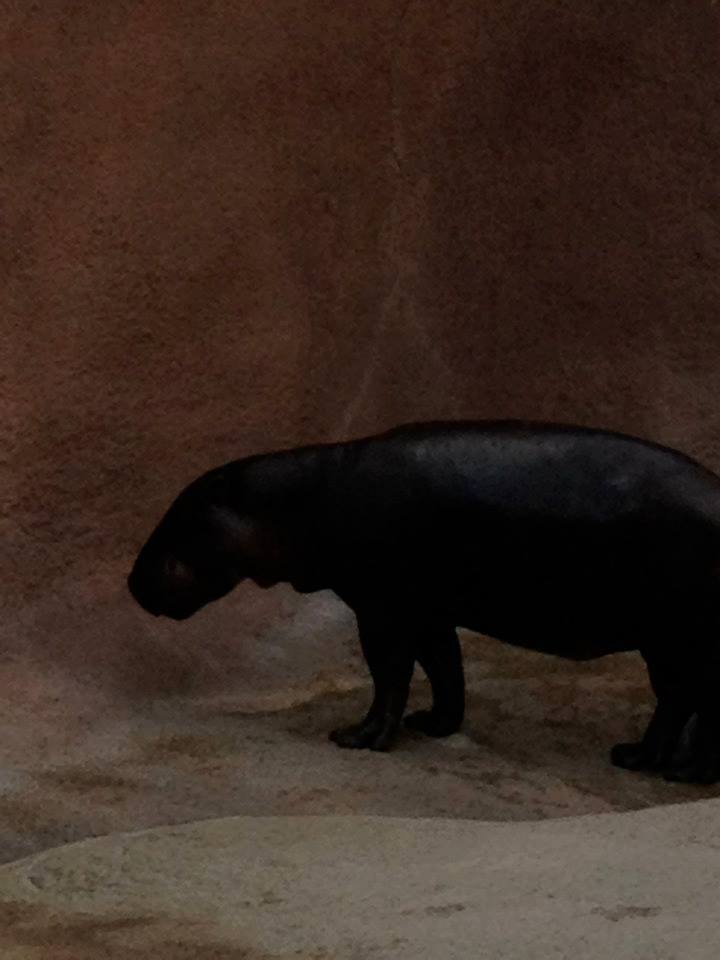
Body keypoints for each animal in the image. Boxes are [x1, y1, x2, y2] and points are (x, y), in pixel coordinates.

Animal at [127, 420, 720, 784]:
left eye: (178, 516)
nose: (130, 581)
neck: (290, 504)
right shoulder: (430, 611)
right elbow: (444, 668)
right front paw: (432, 725)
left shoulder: (381, 610)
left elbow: (390, 673)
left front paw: (357, 739)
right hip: (668, 642)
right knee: (680, 701)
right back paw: (644, 760)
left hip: (676, 637)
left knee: (687, 699)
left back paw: (670, 769)